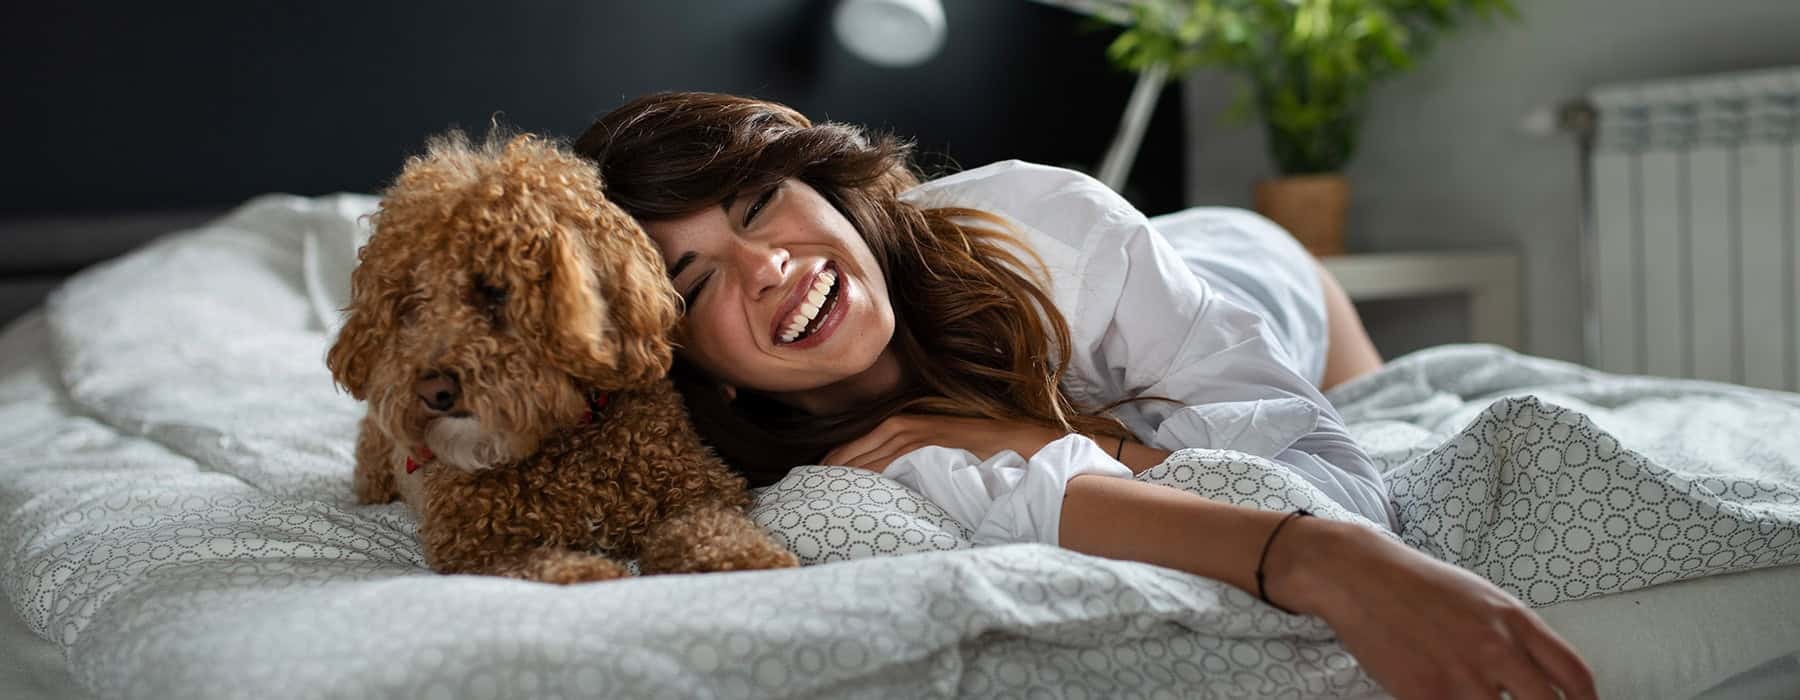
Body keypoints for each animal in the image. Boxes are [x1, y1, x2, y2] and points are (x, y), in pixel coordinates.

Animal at [322, 131, 795, 579]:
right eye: (410, 304)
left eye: (495, 291)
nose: (432, 390)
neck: (562, 447)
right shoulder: (472, 549)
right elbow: (537, 565)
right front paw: (587, 571)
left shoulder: (702, 490)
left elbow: (707, 526)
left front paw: (743, 557)